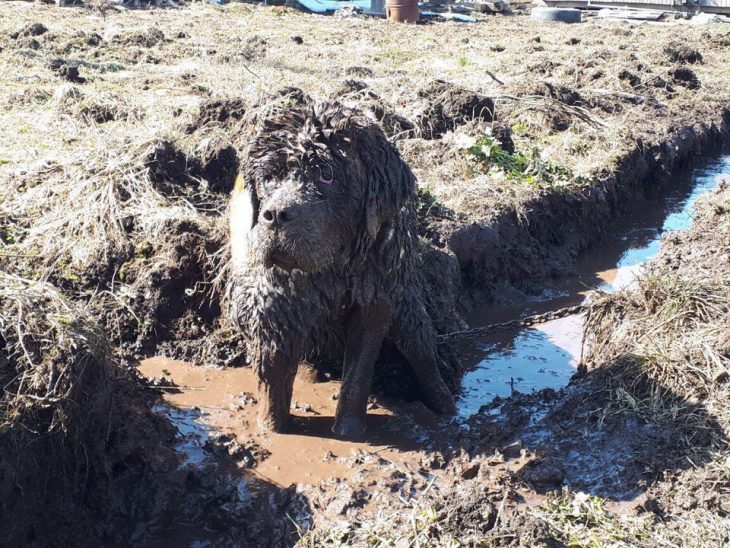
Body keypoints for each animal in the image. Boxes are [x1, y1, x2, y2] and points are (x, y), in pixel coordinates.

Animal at [228, 101, 456, 436]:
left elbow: (358, 372)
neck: (333, 268)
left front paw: (348, 431)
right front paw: (271, 430)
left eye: (326, 175)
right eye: (269, 177)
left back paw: (446, 405)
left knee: (420, 348)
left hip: (406, 305)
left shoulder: (375, 297)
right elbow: (273, 376)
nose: (276, 214)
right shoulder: (273, 304)